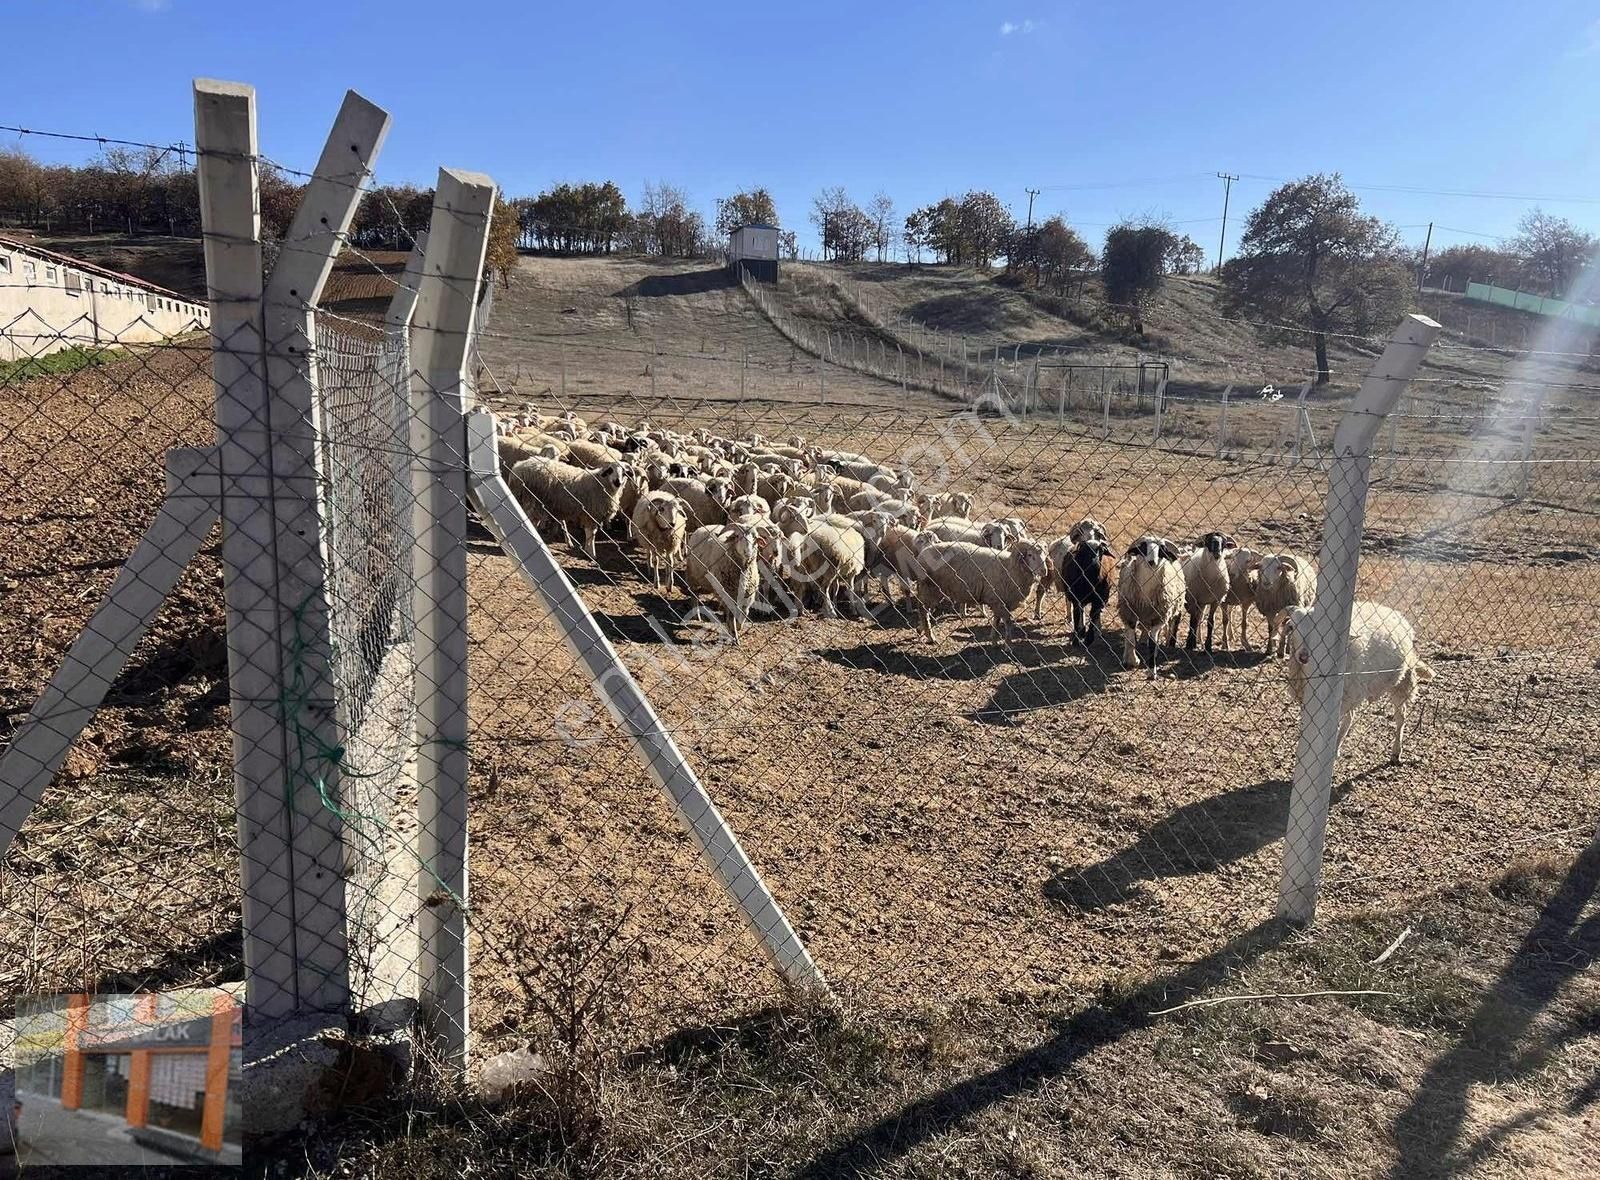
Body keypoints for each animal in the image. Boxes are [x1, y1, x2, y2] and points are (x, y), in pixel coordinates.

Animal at [1286, 597, 1440, 764]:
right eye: (1292, 627)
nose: (1303, 657)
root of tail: (1397, 614)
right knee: (1351, 717)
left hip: (1400, 683)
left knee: (1401, 717)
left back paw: (1396, 752)